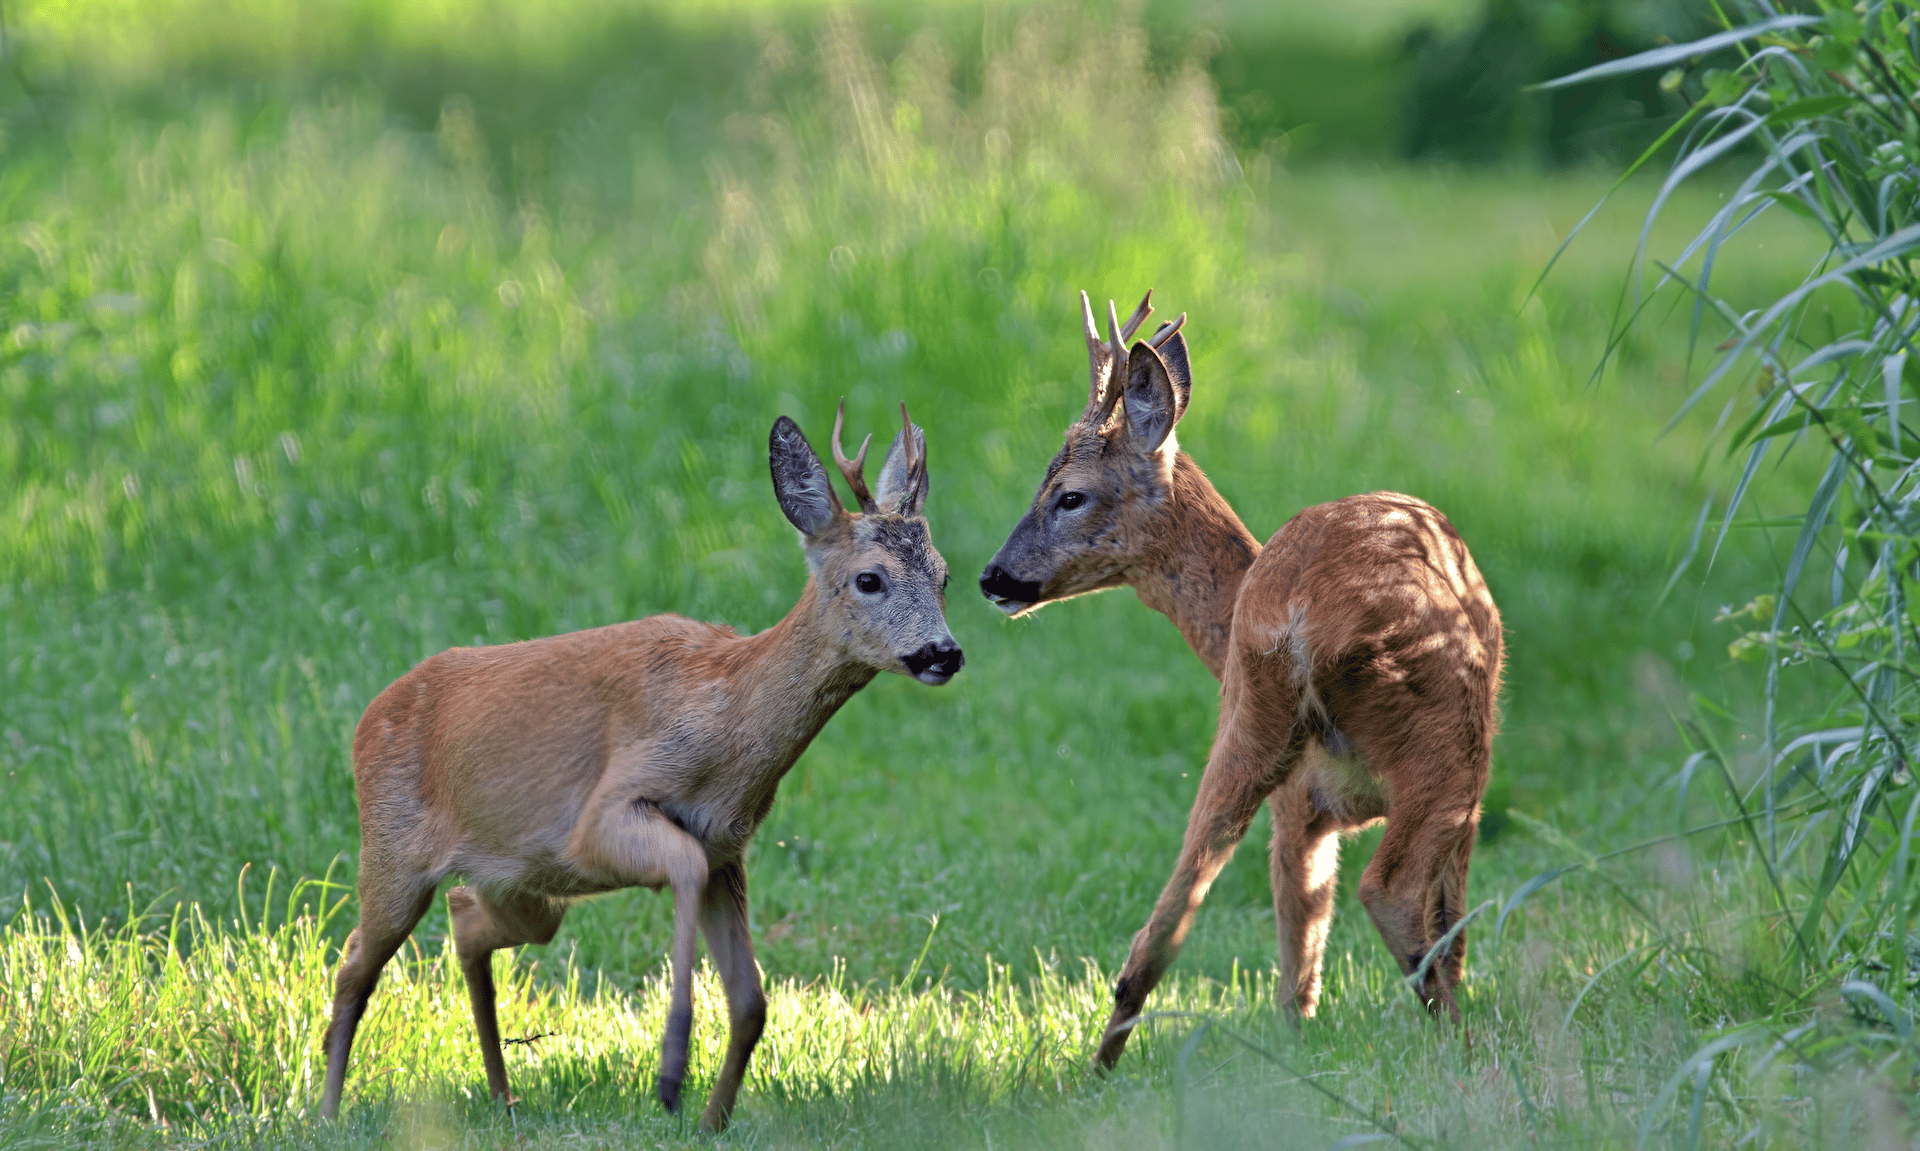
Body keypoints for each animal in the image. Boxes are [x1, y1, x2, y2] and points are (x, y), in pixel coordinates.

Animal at [318, 403, 963, 1130]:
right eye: (869, 578)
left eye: (943, 575)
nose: (943, 652)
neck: (727, 722)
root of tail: (368, 717)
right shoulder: (606, 813)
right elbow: (681, 870)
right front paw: (671, 1072)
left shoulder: (726, 848)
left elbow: (751, 1000)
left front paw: (711, 1122)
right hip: (393, 849)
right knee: (354, 964)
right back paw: (328, 1110)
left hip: (522, 881)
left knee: (466, 919)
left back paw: (503, 1095)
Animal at [979, 292, 1502, 1068]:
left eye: (1068, 495)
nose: (993, 577)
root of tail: (1298, 608)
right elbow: (1451, 917)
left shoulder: (1296, 803)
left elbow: (1296, 956)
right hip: (1448, 737)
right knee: (1398, 891)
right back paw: (1466, 1050)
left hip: (1245, 726)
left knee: (1164, 926)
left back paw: (1100, 1069)